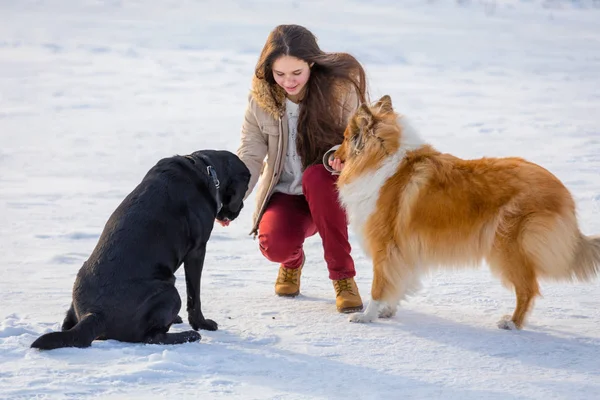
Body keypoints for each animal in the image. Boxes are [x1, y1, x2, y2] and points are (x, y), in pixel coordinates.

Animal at [31, 150, 251, 350]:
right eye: (246, 187)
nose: (239, 209)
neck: (205, 168)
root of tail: (94, 314)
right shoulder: (197, 251)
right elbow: (194, 295)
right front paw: (202, 324)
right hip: (168, 291)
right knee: (151, 337)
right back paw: (189, 335)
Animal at [332, 95, 600, 330]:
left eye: (345, 137)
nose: (332, 154)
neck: (383, 161)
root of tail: (563, 193)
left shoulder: (385, 245)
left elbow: (378, 285)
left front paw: (367, 316)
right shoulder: (403, 249)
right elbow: (399, 280)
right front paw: (387, 310)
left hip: (508, 245)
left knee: (528, 288)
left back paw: (512, 323)